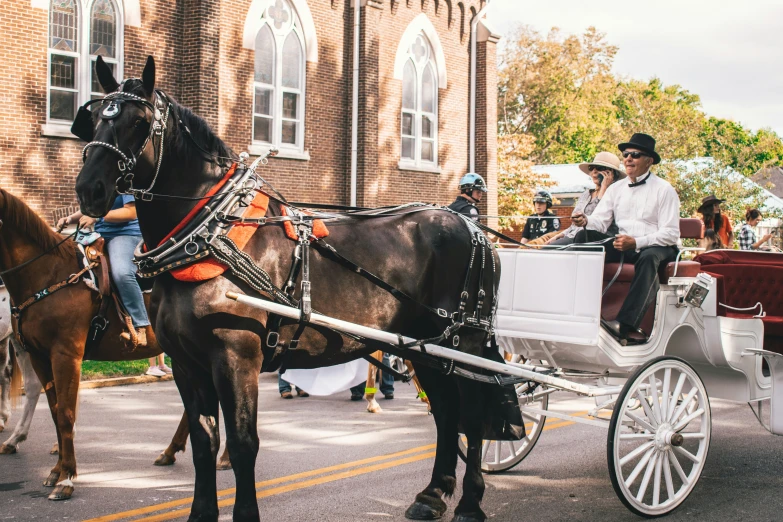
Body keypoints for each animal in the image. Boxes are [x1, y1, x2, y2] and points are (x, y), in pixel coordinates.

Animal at [0, 189, 205, 498]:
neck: (47, 274)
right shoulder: (38, 355)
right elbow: (55, 411)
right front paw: (56, 471)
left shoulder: (65, 354)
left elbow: (65, 413)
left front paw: (66, 479)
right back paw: (171, 451)